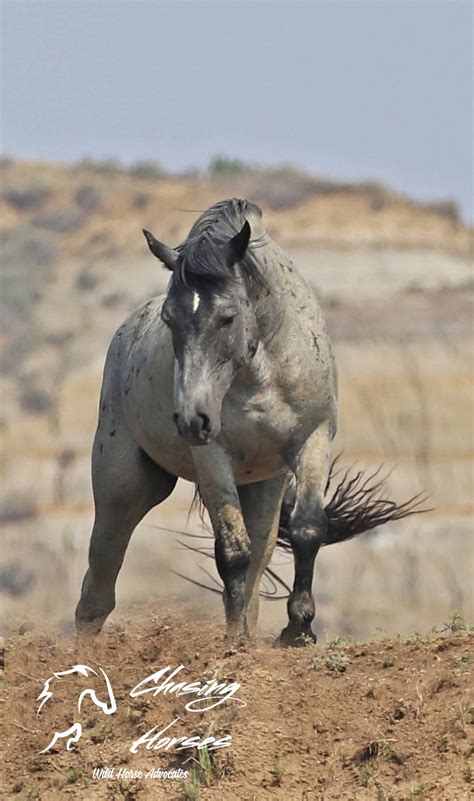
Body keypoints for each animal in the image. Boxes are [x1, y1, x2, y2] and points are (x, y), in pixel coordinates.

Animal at [76, 198, 424, 644]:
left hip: (262, 486)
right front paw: (233, 643)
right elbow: (231, 552)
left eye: (226, 317)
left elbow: (307, 529)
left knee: (258, 561)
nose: (192, 419)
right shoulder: (214, 457)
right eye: (170, 320)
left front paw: (298, 630)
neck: (263, 373)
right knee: (100, 575)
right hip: (124, 487)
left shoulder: (312, 442)